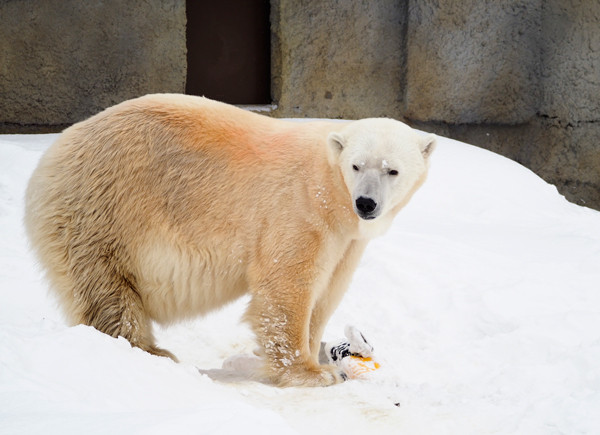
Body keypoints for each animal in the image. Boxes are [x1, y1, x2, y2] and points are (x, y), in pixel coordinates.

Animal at [24, 94, 436, 388]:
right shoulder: (298, 208)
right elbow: (288, 285)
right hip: (103, 210)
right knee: (108, 292)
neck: (330, 192)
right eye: (356, 165)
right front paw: (312, 372)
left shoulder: (346, 239)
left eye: (392, 170)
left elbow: (327, 291)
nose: (366, 203)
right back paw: (150, 351)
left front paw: (321, 354)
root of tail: (50, 157)